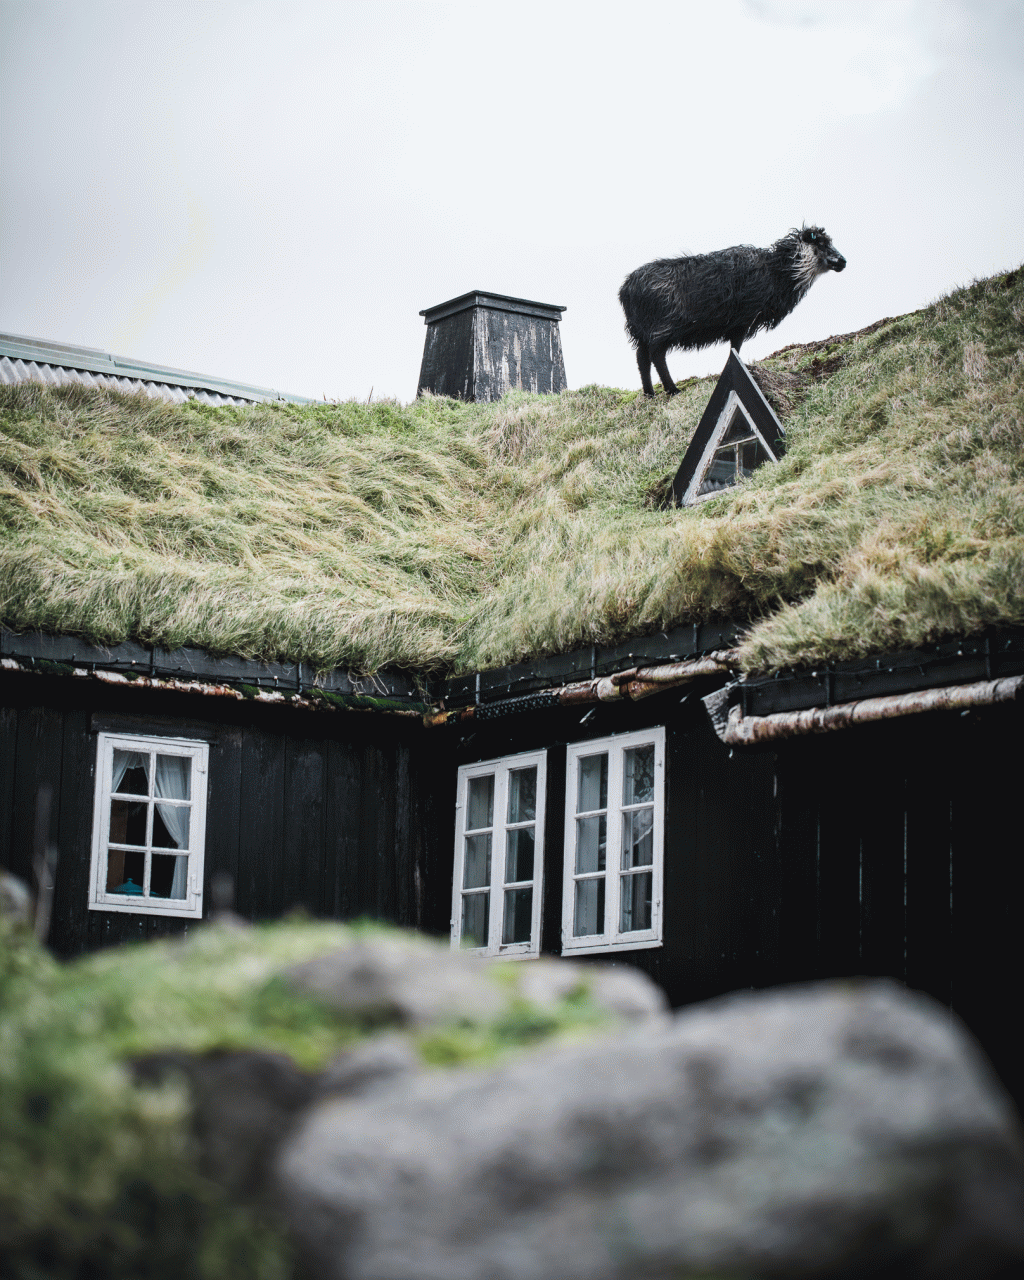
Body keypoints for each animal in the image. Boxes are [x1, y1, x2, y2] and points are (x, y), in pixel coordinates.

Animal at [616, 225, 849, 394]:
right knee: (656, 355)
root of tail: (626, 289)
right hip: (663, 325)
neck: (778, 271)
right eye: (821, 243)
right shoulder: (743, 319)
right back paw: (672, 389)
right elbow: (735, 347)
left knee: (641, 357)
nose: (843, 261)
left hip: (642, 329)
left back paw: (649, 393)